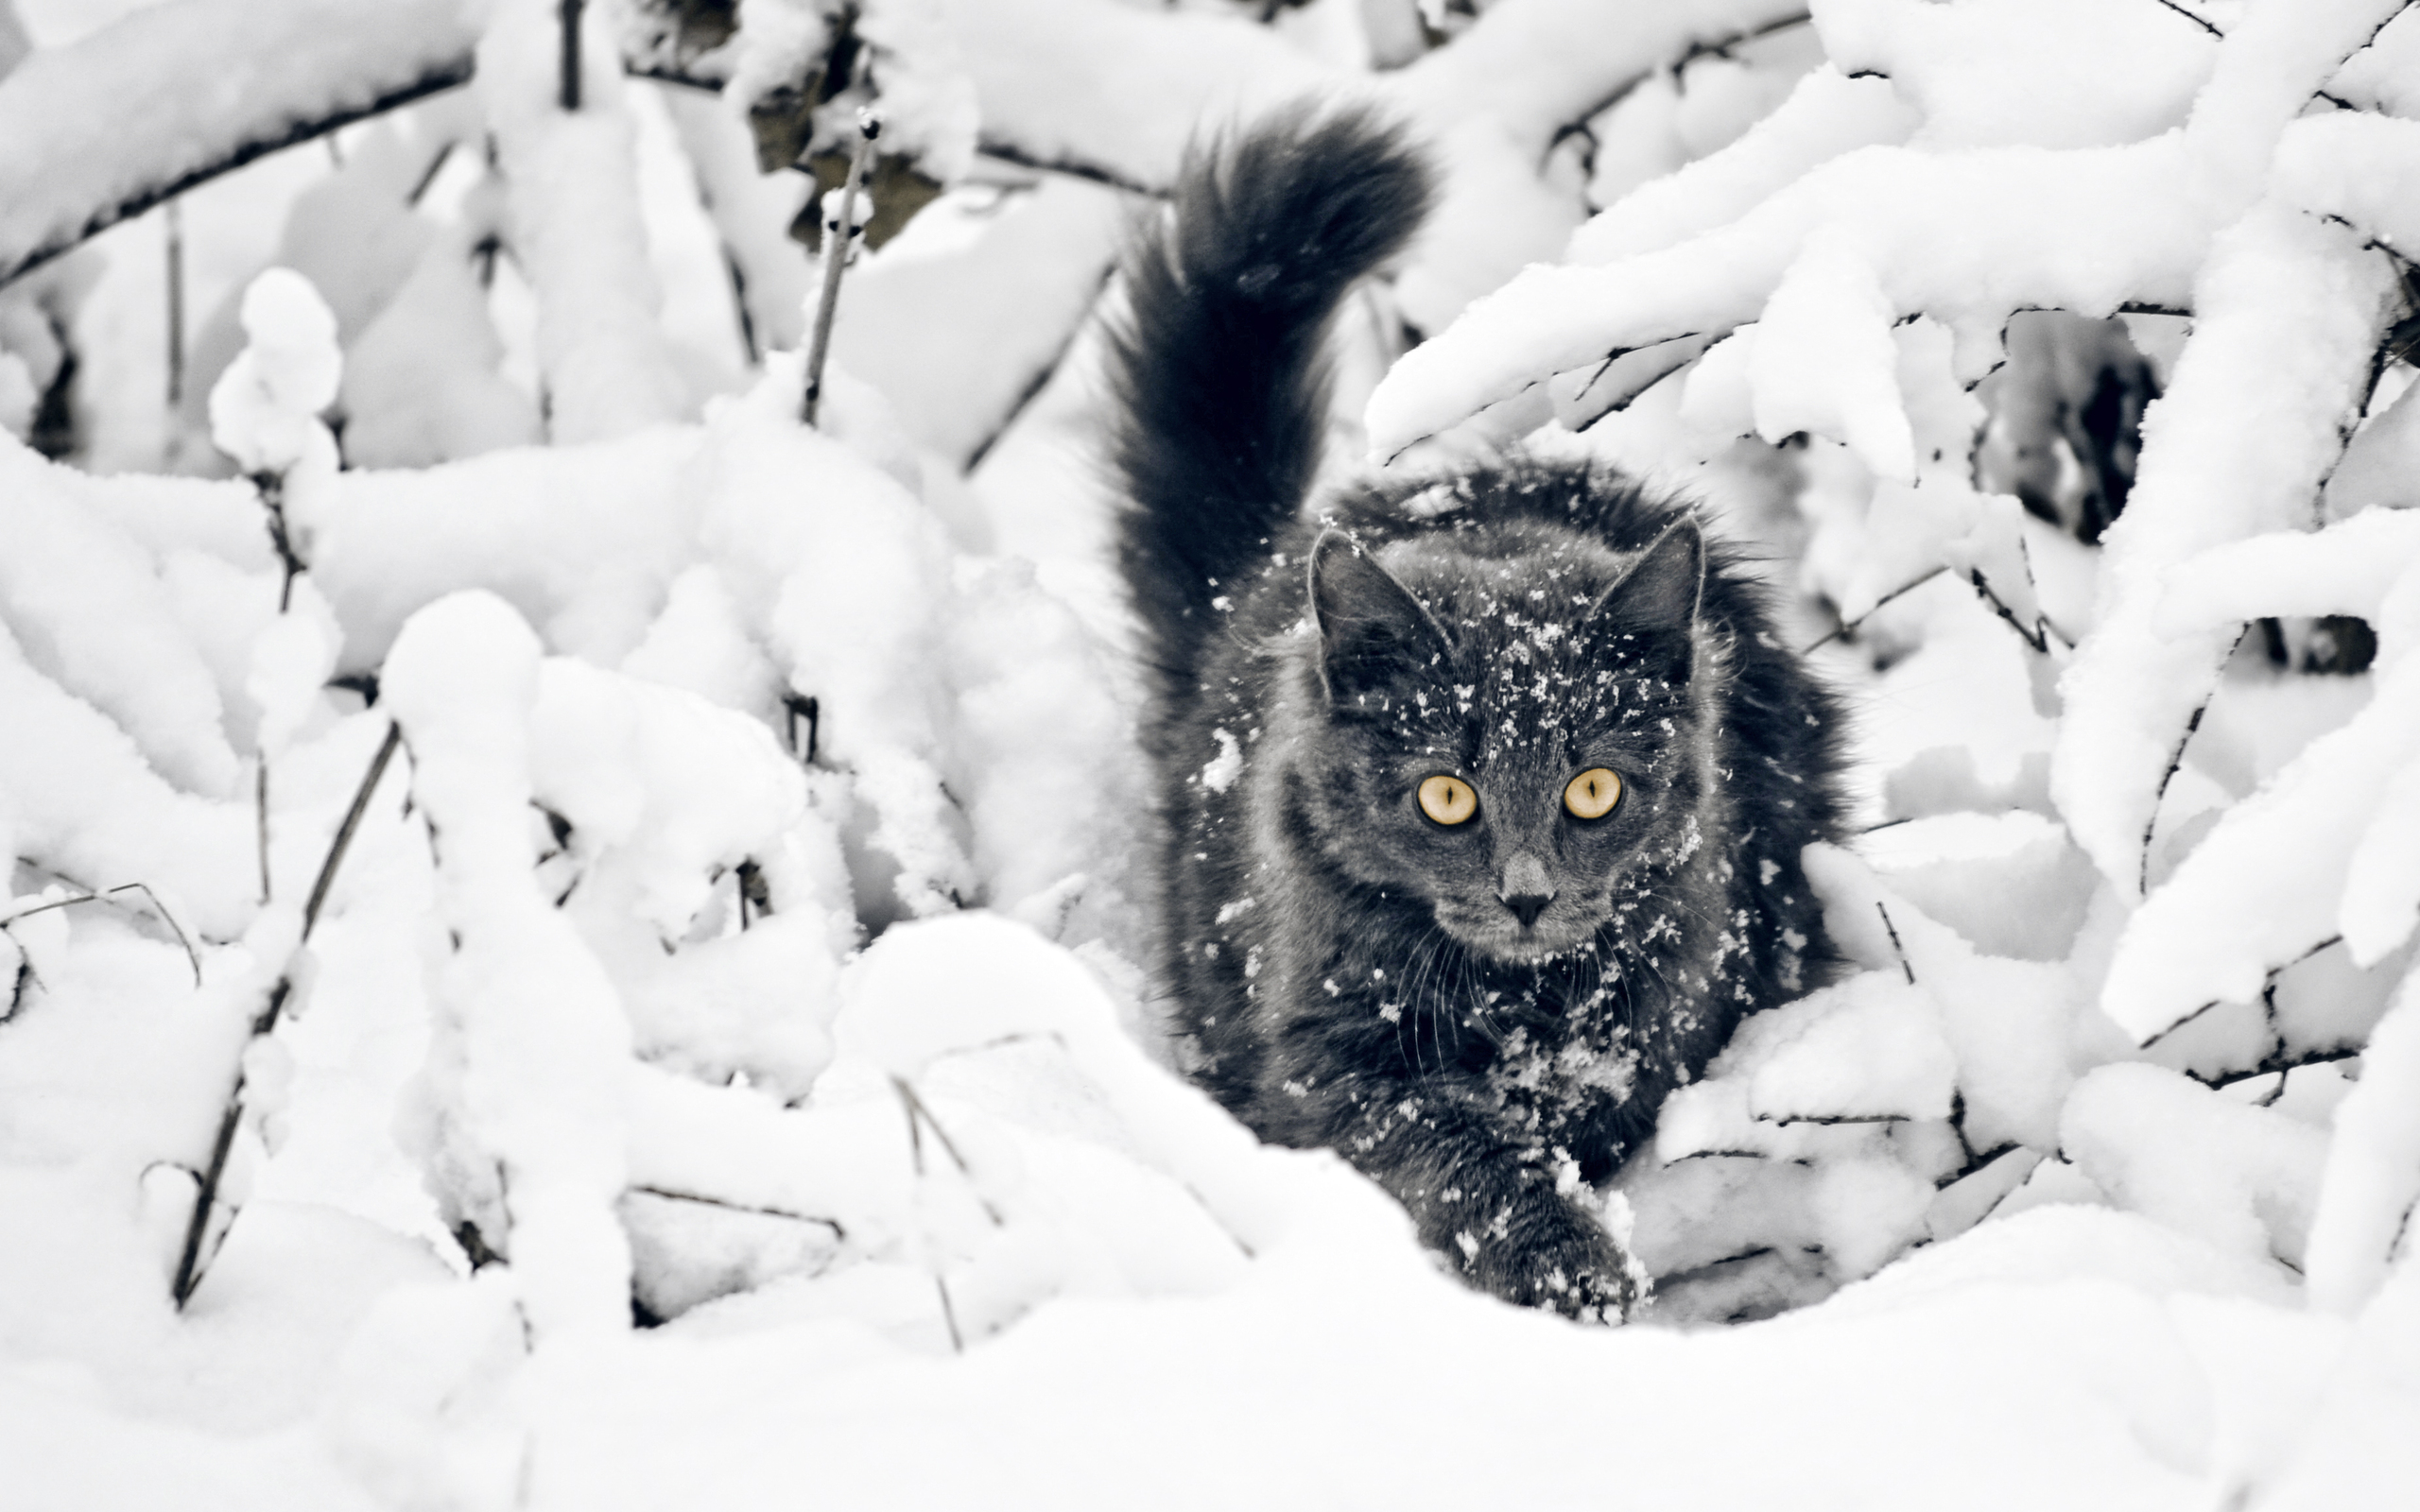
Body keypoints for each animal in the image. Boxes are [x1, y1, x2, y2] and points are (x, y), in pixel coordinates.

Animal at [1108, 106, 1839, 1315]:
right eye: (1445, 796)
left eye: (1594, 789)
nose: (1527, 894)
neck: (1522, 1007)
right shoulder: (1330, 1055)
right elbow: (1459, 1149)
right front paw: (1568, 1268)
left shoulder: (1675, 1006)